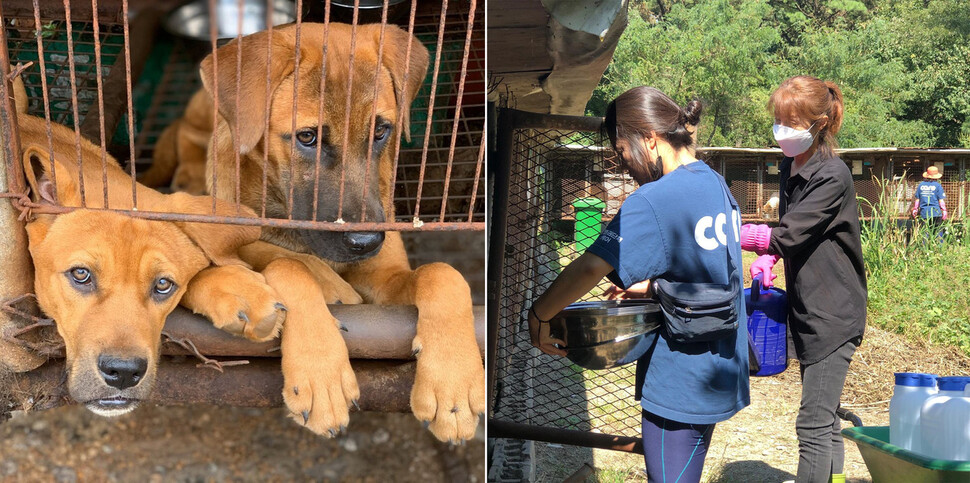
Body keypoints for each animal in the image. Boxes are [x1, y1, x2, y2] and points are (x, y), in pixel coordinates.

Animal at [145, 24, 484, 444]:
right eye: (307, 137)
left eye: (381, 130)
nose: (366, 243)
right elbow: (286, 262)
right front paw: (321, 372)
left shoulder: (385, 279)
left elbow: (442, 274)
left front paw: (453, 383)